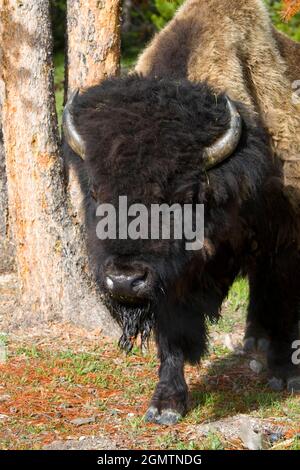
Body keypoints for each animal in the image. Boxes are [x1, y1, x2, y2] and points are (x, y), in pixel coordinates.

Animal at [62, 0, 300, 426]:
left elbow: (282, 304)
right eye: (95, 190)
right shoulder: (170, 277)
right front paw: (166, 403)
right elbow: (170, 334)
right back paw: (252, 340)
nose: (124, 280)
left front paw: (285, 376)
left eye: (178, 196)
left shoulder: (284, 238)